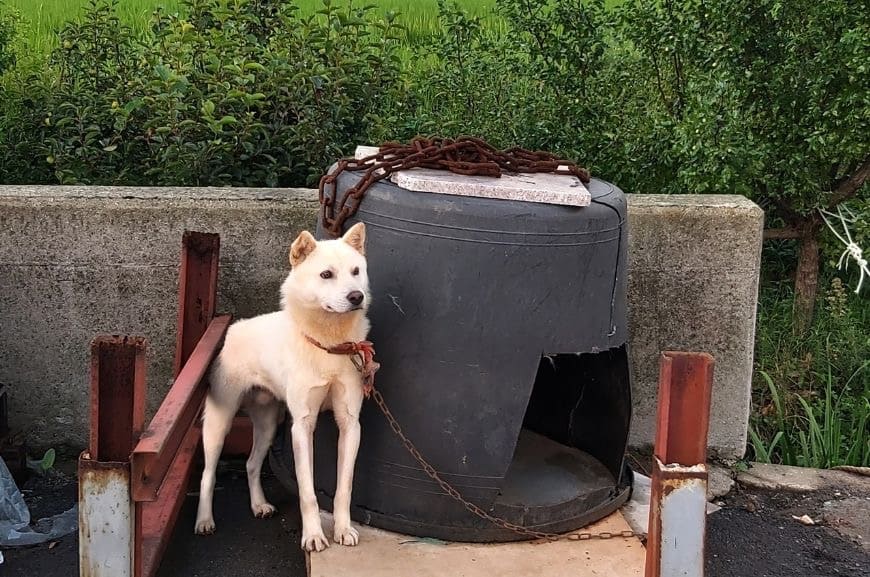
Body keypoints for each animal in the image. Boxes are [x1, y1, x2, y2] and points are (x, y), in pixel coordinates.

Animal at [194, 222, 371, 552]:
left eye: (356, 271)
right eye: (326, 274)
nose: (357, 296)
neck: (328, 345)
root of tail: (234, 329)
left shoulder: (350, 424)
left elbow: (344, 487)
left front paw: (342, 529)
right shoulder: (301, 426)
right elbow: (307, 492)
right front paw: (313, 535)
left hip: (267, 424)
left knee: (251, 464)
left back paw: (258, 505)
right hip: (218, 422)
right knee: (207, 475)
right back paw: (204, 521)